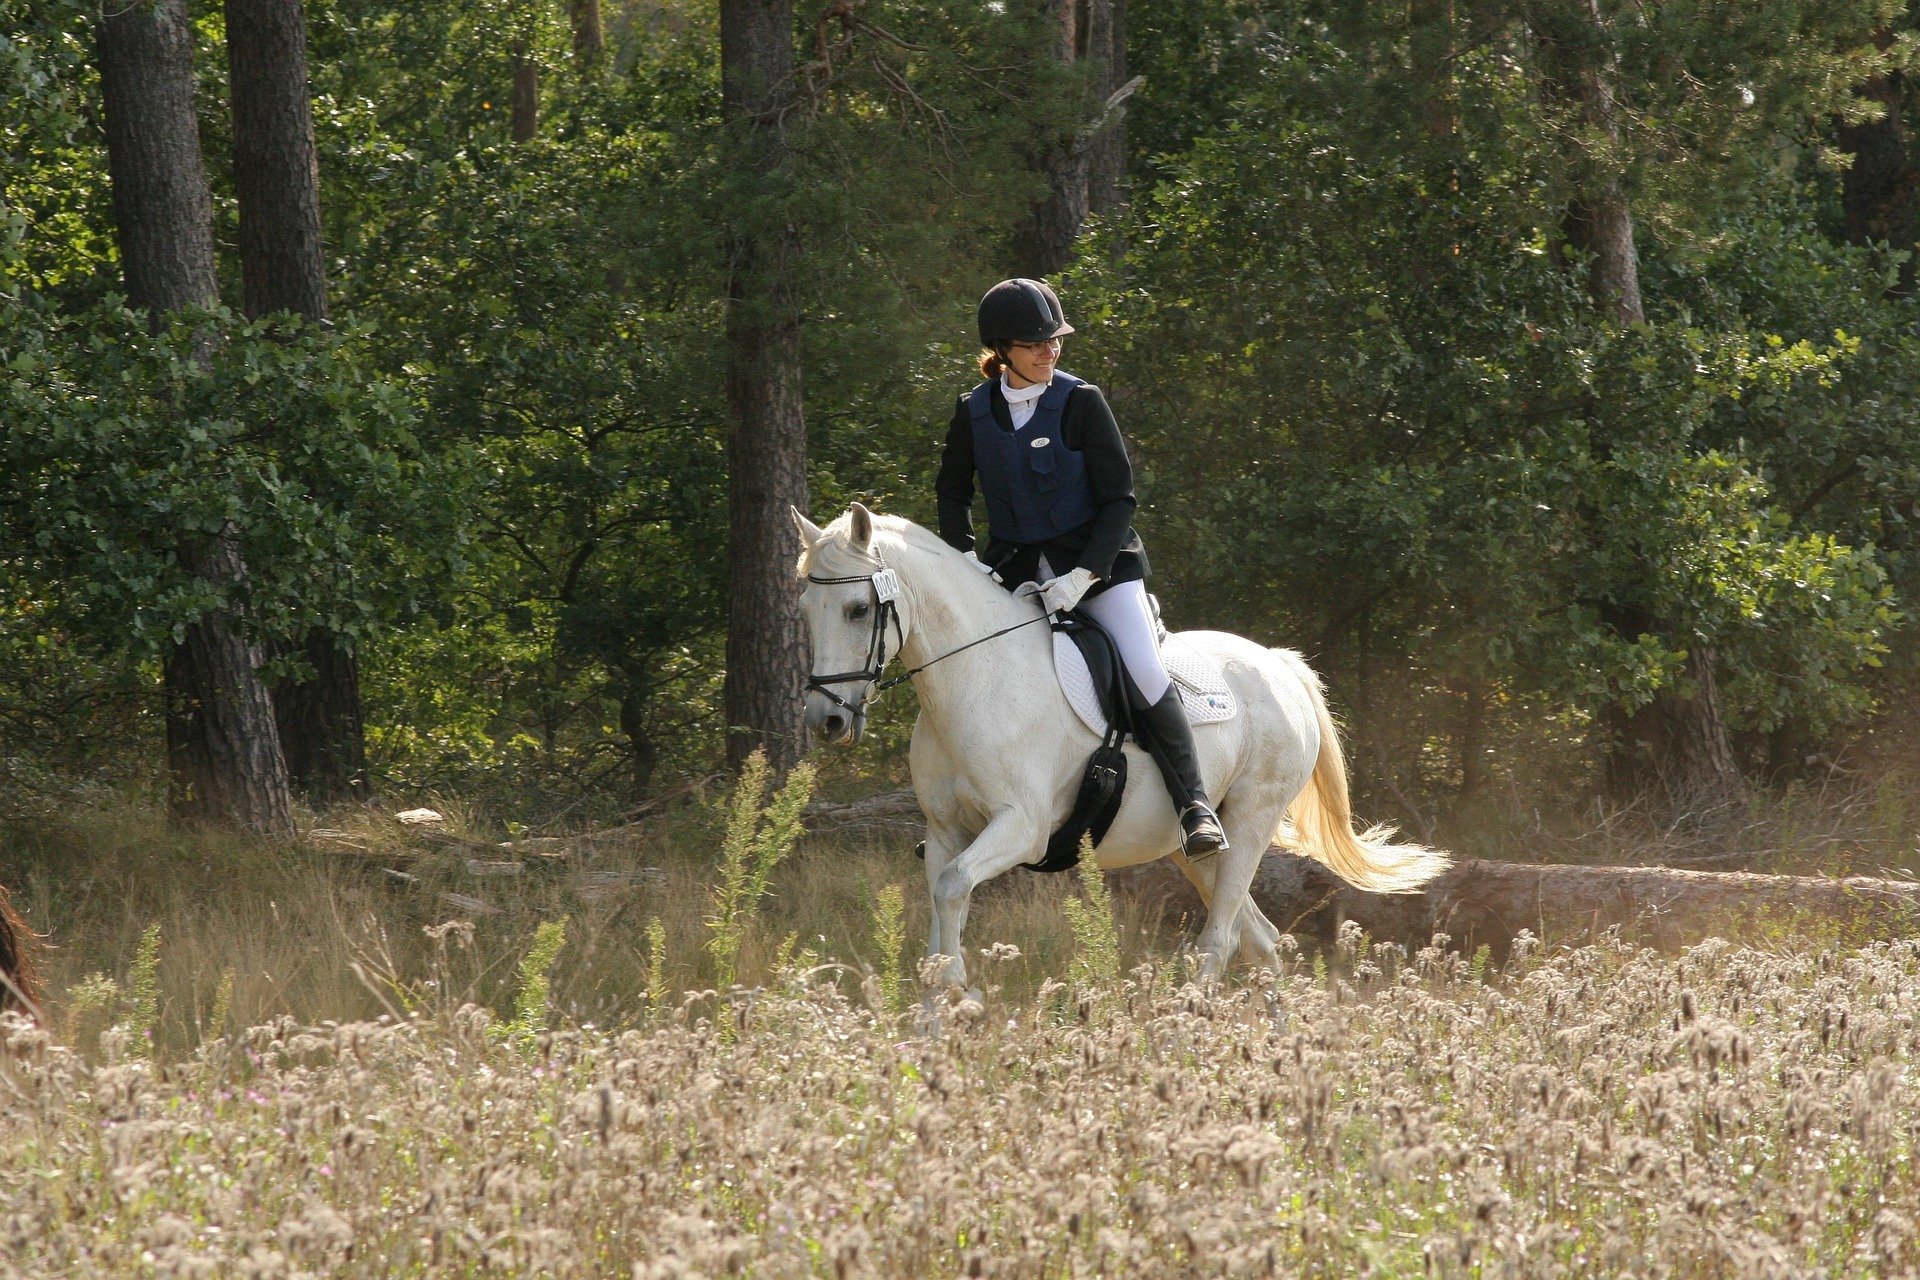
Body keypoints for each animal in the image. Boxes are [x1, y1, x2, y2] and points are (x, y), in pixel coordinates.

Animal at [794, 503, 1449, 989]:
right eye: (804, 609)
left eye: (858, 609)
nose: (826, 721)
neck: (974, 678)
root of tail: (1279, 665)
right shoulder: (946, 832)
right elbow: (938, 925)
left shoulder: (1021, 828)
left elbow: (955, 889)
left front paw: (958, 1006)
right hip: (1192, 849)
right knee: (1259, 940)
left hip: (1252, 819)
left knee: (1220, 941)